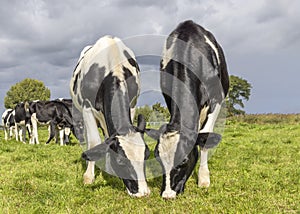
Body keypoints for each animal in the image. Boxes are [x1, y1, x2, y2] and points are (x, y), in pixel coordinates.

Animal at [69, 35, 150, 197]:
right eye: (120, 161)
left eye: (146, 155)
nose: (143, 192)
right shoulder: (87, 107)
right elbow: (94, 142)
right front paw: (88, 177)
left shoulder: (132, 104)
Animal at [145, 20, 230, 199]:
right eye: (158, 159)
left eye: (183, 161)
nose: (167, 194)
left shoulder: (217, 99)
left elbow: (205, 138)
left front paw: (204, 179)